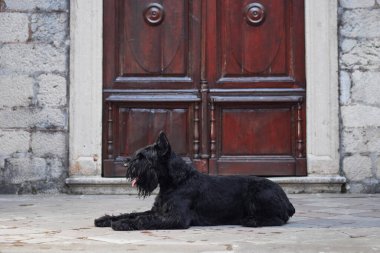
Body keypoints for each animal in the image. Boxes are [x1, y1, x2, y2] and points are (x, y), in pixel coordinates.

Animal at [94, 131, 294, 230]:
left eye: (143, 157)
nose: (126, 164)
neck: (175, 182)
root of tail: (287, 201)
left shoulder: (176, 217)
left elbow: (144, 219)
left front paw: (122, 224)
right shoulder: (158, 210)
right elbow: (132, 213)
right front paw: (107, 219)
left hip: (259, 193)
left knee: (278, 219)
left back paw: (251, 221)